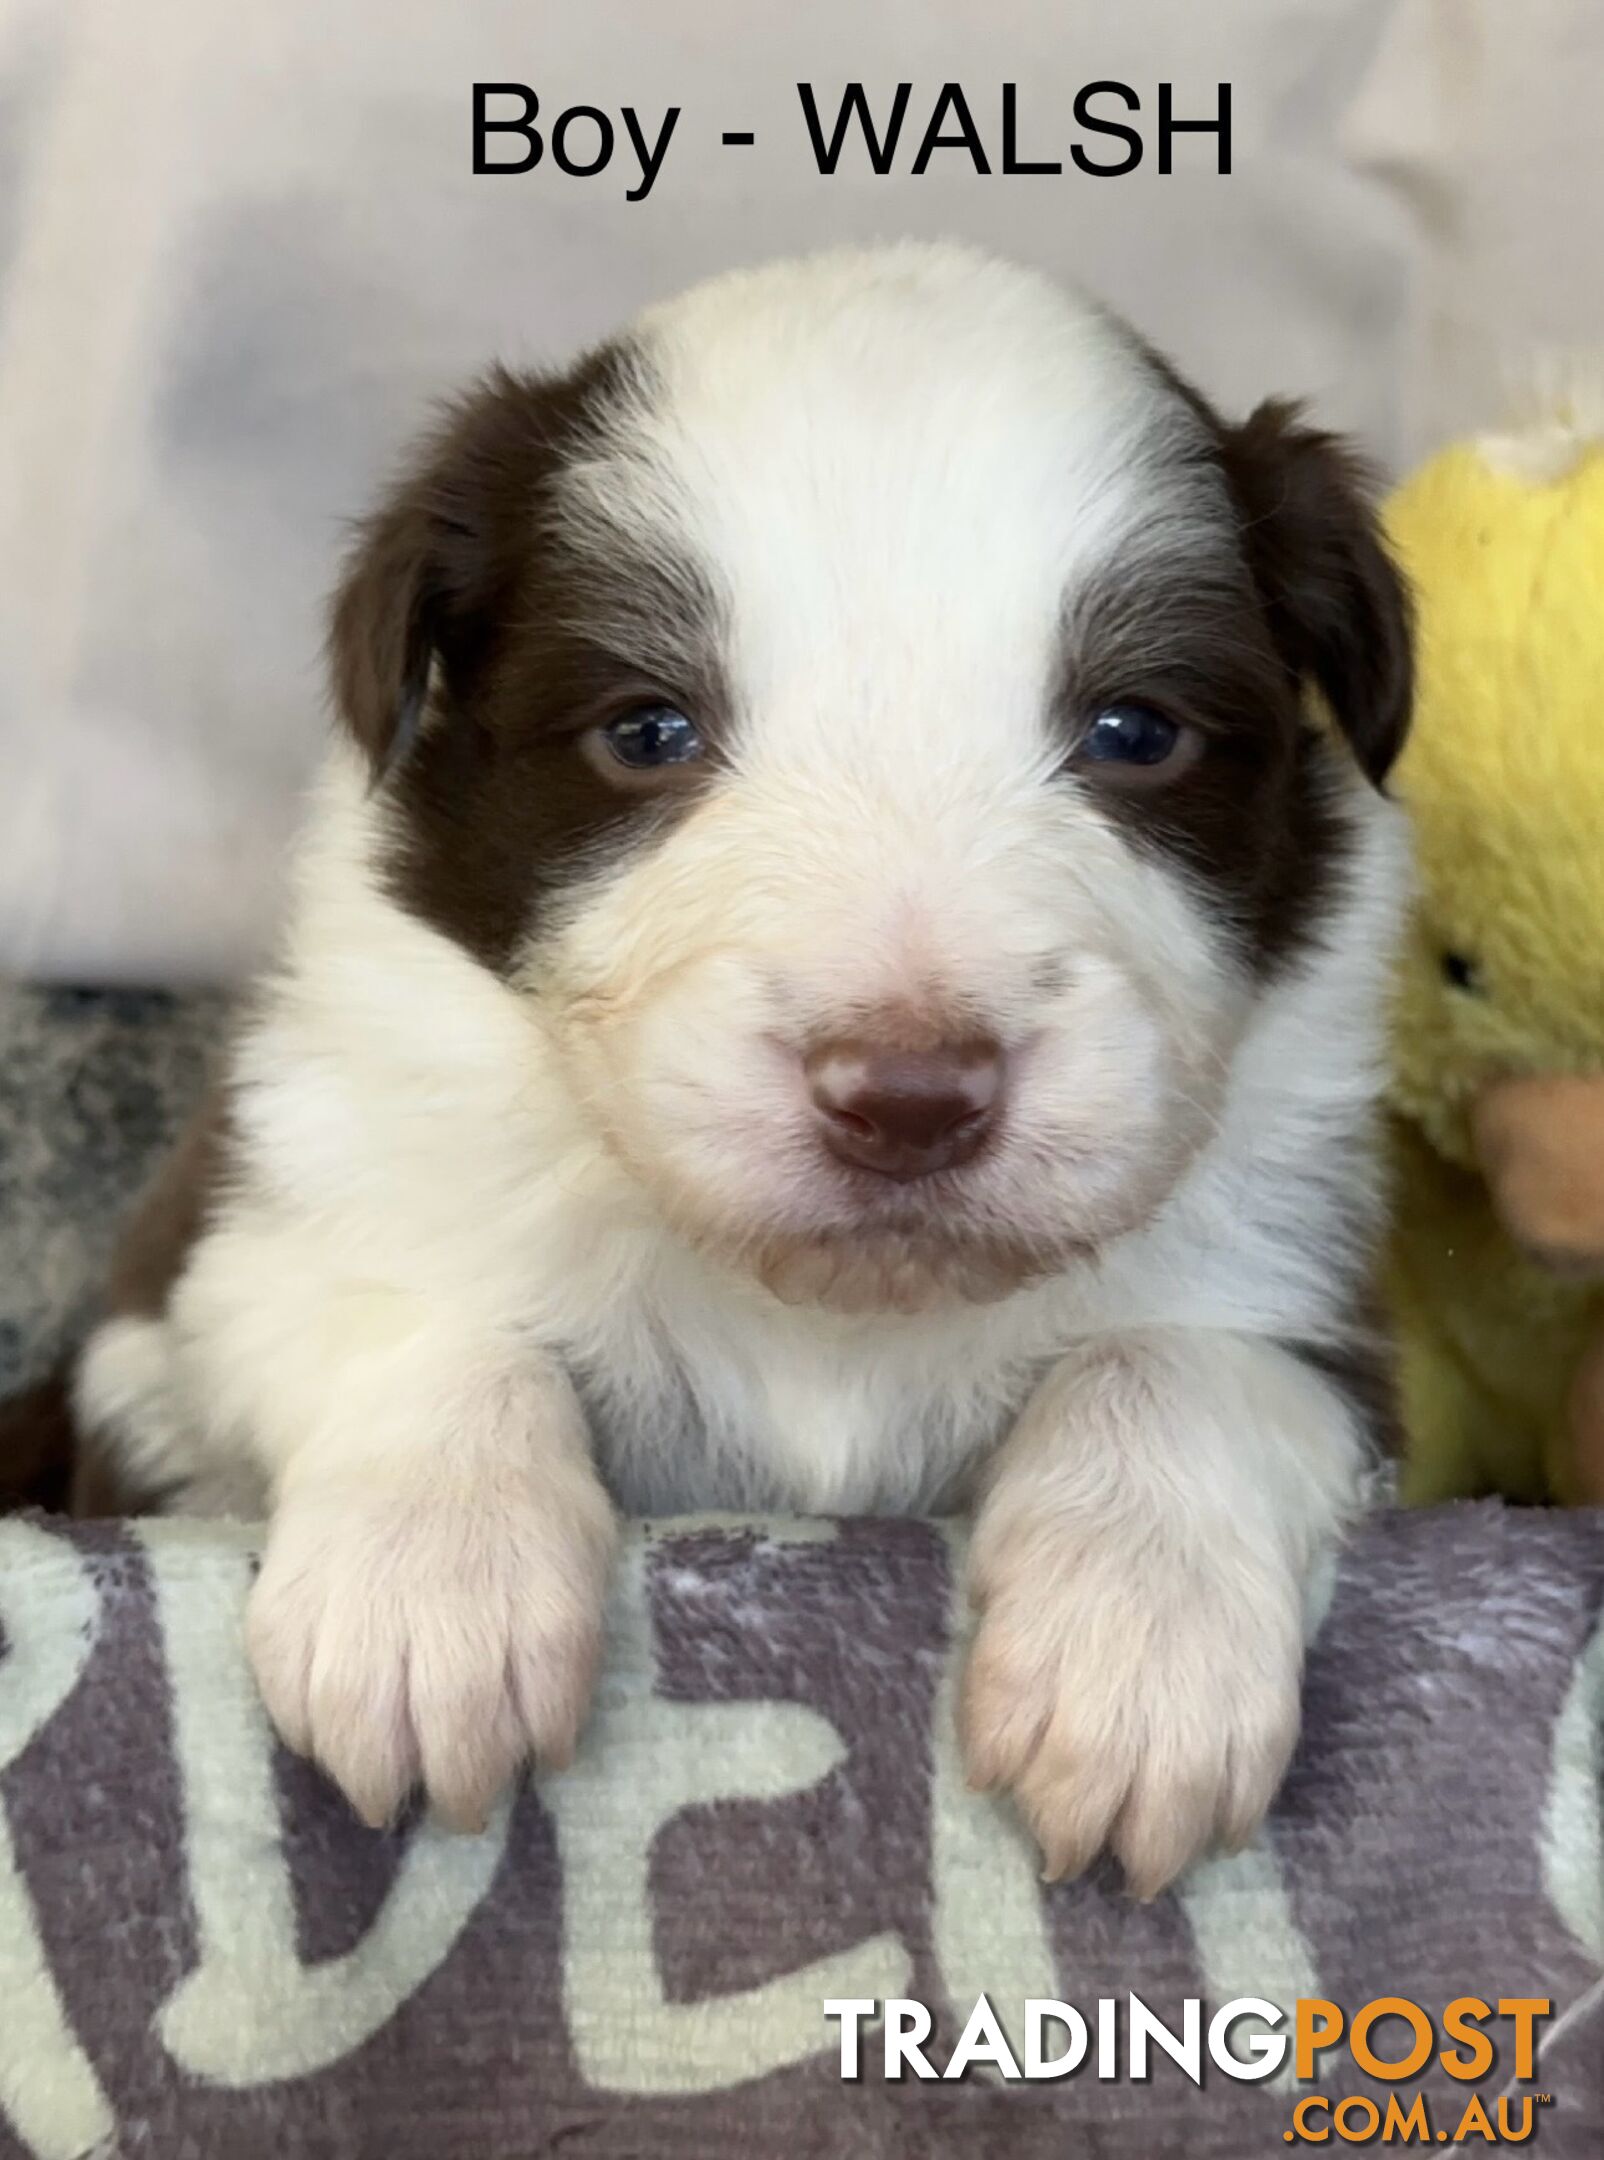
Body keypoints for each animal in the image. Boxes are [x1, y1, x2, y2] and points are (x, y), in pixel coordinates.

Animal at [31, 240, 1407, 1892]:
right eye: (648, 731)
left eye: (1137, 730)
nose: (908, 1097)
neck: (831, 1318)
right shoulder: (236, 1258)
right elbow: (431, 1324)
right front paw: (431, 1600)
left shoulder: (1323, 1311)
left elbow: (1171, 1359)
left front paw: (1139, 1659)